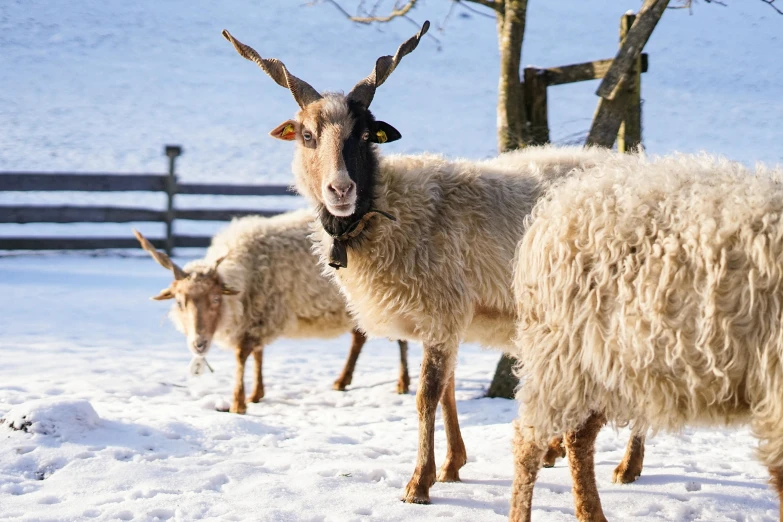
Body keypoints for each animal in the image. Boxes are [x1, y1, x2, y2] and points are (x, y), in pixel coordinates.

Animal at [133, 209, 410, 412]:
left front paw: (238, 403)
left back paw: (402, 383)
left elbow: (242, 355)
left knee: (399, 339)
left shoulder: (260, 312)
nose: (198, 344)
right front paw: (256, 394)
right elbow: (257, 354)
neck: (244, 271)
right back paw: (343, 381)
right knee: (359, 338)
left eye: (215, 299)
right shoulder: (258, 315)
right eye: (180, 302)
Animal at [220, 22, 644, 502]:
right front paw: (451, 465)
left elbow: (426, 395)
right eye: (307, 135)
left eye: (364, 136)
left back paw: (628, 466)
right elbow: (446, 392)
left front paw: (418, 483)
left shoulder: (442, 310)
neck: (391, 209)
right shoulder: (443, 318)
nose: (341, 189)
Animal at [512, 152, 783, 516]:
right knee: (528, 443)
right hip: (560, 355)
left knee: (579, 437)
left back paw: (593, 514)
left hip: (605, 365)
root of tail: (556, 204)